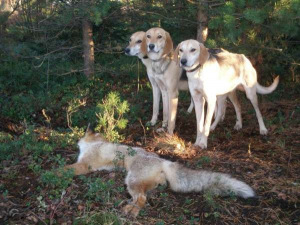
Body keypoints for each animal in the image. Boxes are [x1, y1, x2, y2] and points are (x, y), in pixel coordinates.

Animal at [63, 127, 255, 217]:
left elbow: (62, 170)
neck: (96, 144)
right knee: (144, 196)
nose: (77, 139)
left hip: (131, 181)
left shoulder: (84, 165)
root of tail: (164, 160)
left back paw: (131, 212)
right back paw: (130, 206)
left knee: (142, 199)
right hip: (138, 182)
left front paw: (55, 174)